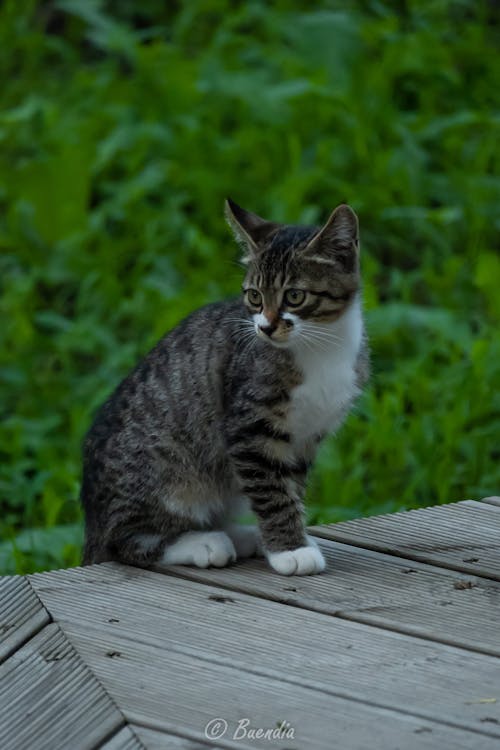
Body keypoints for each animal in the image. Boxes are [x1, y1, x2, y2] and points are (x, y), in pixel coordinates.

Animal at [81, 200, 368, 576]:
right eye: (255, 296)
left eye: (294, 296)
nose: (266, 328)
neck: (321, 346)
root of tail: (93, 520)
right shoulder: (248, 426)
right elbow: (272, 491)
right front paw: (290, 549)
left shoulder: (305, 437)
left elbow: (289, 486)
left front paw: (291, 538)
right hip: (165, 471)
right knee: (125, 541)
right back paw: (204, 543)